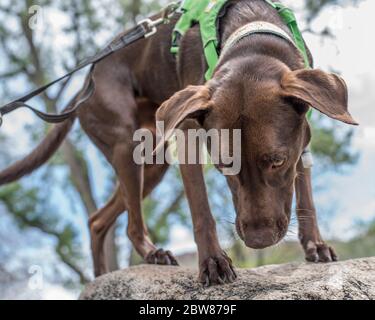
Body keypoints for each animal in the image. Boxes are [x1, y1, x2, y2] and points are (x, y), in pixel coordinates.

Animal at [0, 0, 358, 284]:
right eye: (224, 165)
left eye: (277, 161)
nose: (259, 241)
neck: (251, 37)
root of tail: (84, 84)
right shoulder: (188, 134)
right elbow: (201, 209)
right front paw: (213, 263)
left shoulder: (302, 137)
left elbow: (305, 195)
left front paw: (314, 245)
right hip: (128, 147)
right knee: (130, 224)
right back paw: (151, 252)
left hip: (154, 163)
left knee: (98, 219)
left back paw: (101, 276)